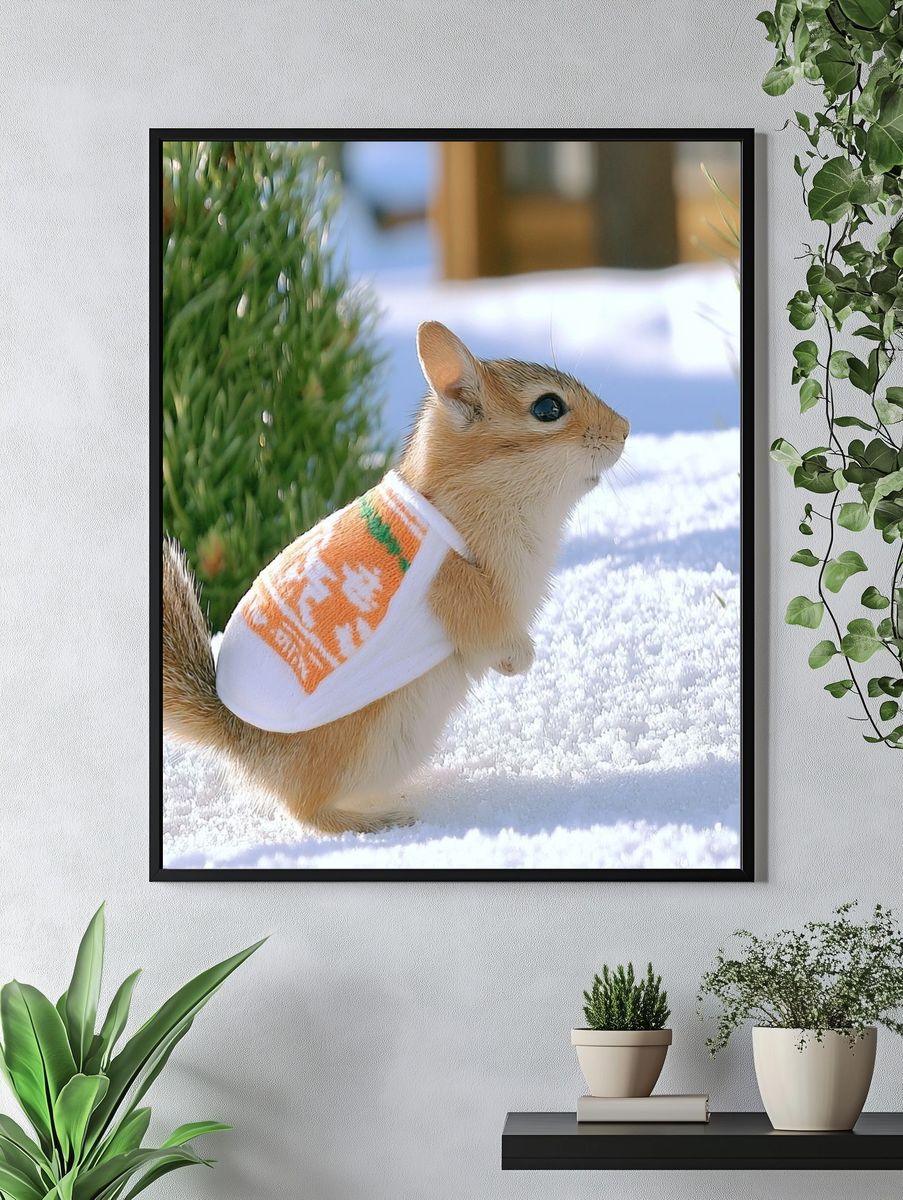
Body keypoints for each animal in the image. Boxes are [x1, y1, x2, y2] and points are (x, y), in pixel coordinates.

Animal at [163, 321, 629, 835]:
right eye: (548, 408)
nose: (626, 429)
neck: (469, 491)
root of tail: (237, 738)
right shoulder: (457, 586)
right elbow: (491, 630)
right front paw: (520, 661)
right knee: (305, 811)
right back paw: (383, 819)